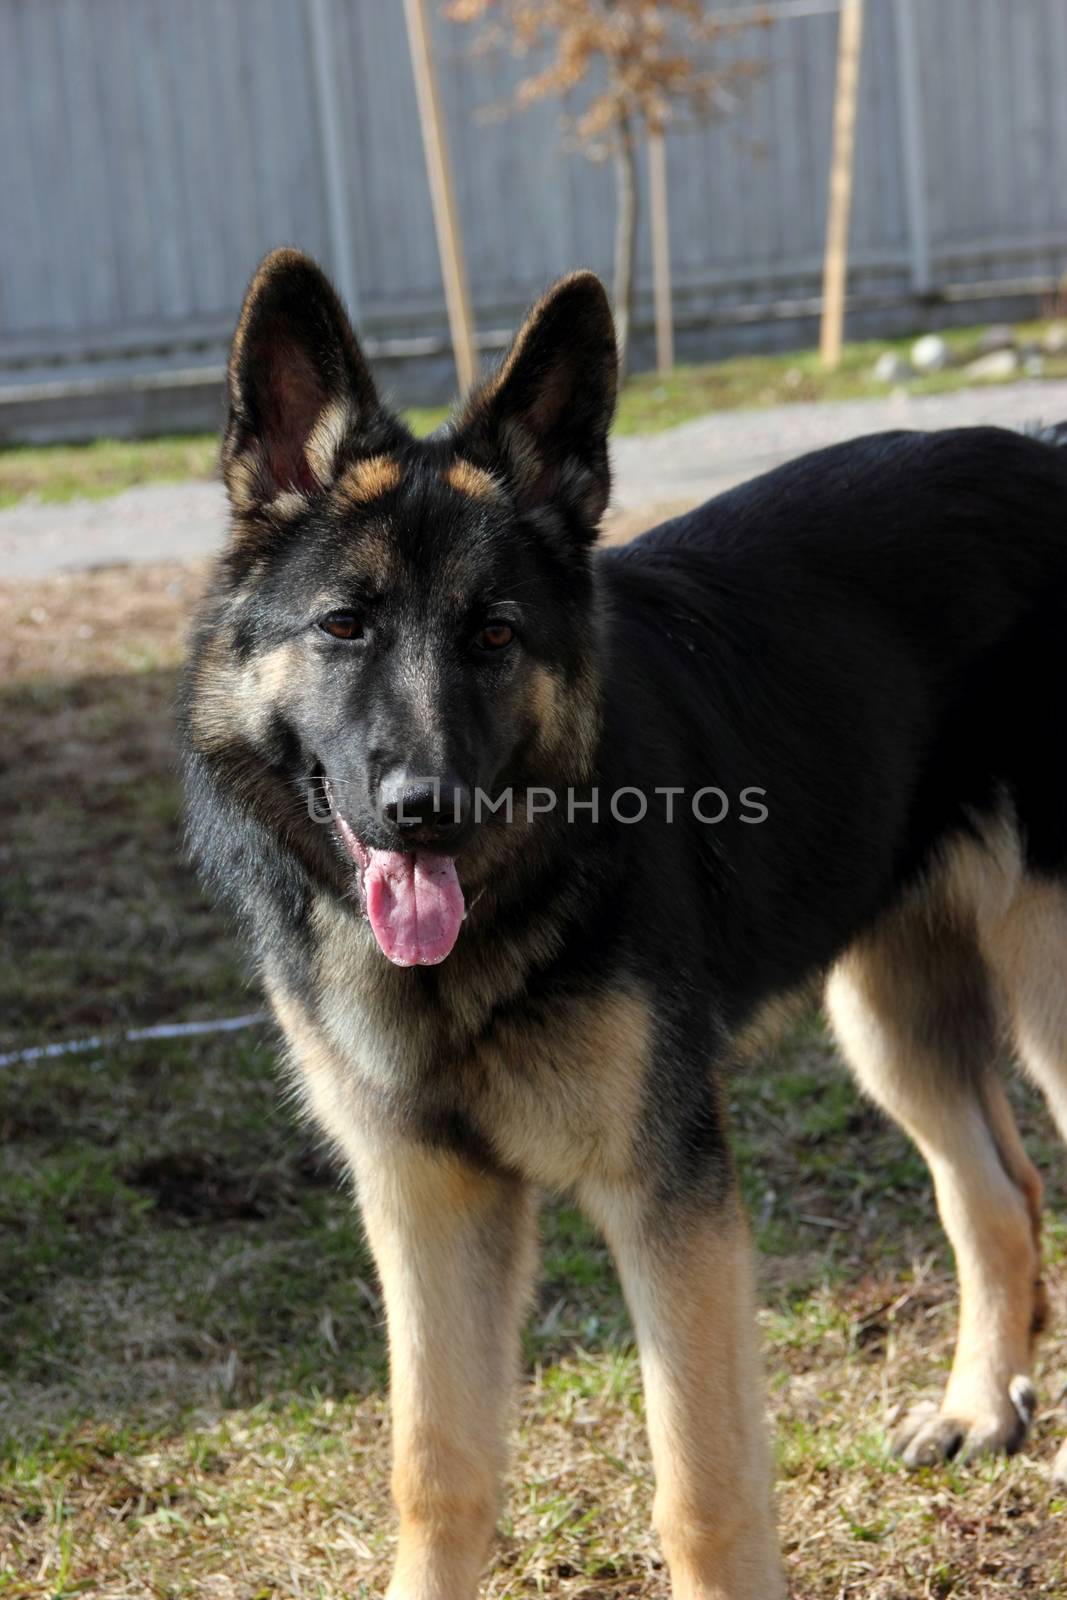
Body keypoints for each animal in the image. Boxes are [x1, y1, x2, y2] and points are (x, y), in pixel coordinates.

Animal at [183, 246, 1067, 1587]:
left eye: (494, 635)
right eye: (343, 625)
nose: (422, 812)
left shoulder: (667, 1198)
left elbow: (700, 1485)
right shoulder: (425, 1203)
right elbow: (434, 1470)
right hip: (888, 1023)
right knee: (994, 1192)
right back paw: (979, 1402)